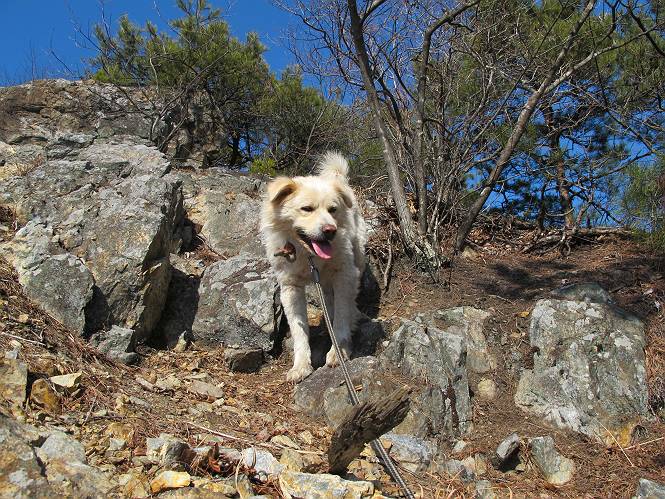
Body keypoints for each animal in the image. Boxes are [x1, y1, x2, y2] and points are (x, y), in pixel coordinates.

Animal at [260, 152, 367, 382]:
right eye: (307, 209)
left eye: (333, 210)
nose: (330, 231)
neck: (308, 256)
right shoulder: (290, 289)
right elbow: (299, 330)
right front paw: (301, 366)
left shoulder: (344, 274)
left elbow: (342, 316)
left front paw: (339, 351)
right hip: (325, 283)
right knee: (329, 299)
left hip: (357, 260)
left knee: (349, 300)